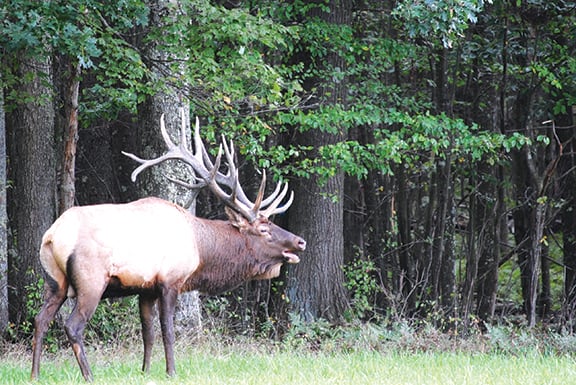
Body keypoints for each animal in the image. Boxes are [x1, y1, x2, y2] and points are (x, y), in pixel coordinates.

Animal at [30, 112, 306, 380]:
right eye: (263, 229)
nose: (300, 241)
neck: (200, 250)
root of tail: (52, 236)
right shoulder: (170, 281)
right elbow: (168, 331)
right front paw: (171, 371)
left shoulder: (146, 289)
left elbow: (148, 333)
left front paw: (145, 371)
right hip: (91, 280)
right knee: (72, 325)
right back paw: (89, 376)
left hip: (55, 282)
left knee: (40, 319)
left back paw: (35, 374)